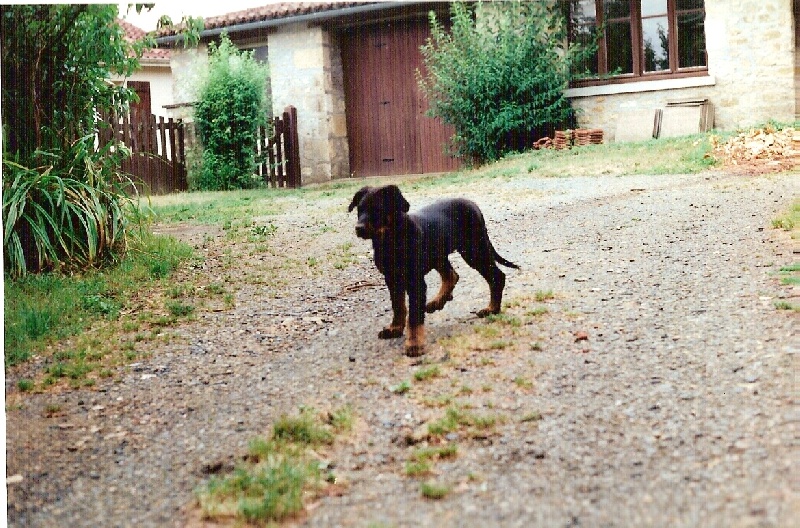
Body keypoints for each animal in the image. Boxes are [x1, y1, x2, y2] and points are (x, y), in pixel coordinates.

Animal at [350, 187, 520, 358]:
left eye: (378, 209)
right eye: (359, 209)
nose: (359, 228)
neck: (391, 239)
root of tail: (473, 205)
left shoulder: (415, 281)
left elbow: (414, 316)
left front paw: (414, 344)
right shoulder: (392, 279)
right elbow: (398, 306)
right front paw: (395, 329)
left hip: (474, 250)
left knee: (497, 276)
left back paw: (492, 309)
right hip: (441, 254)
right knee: (452, 275)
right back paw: (437, 302)